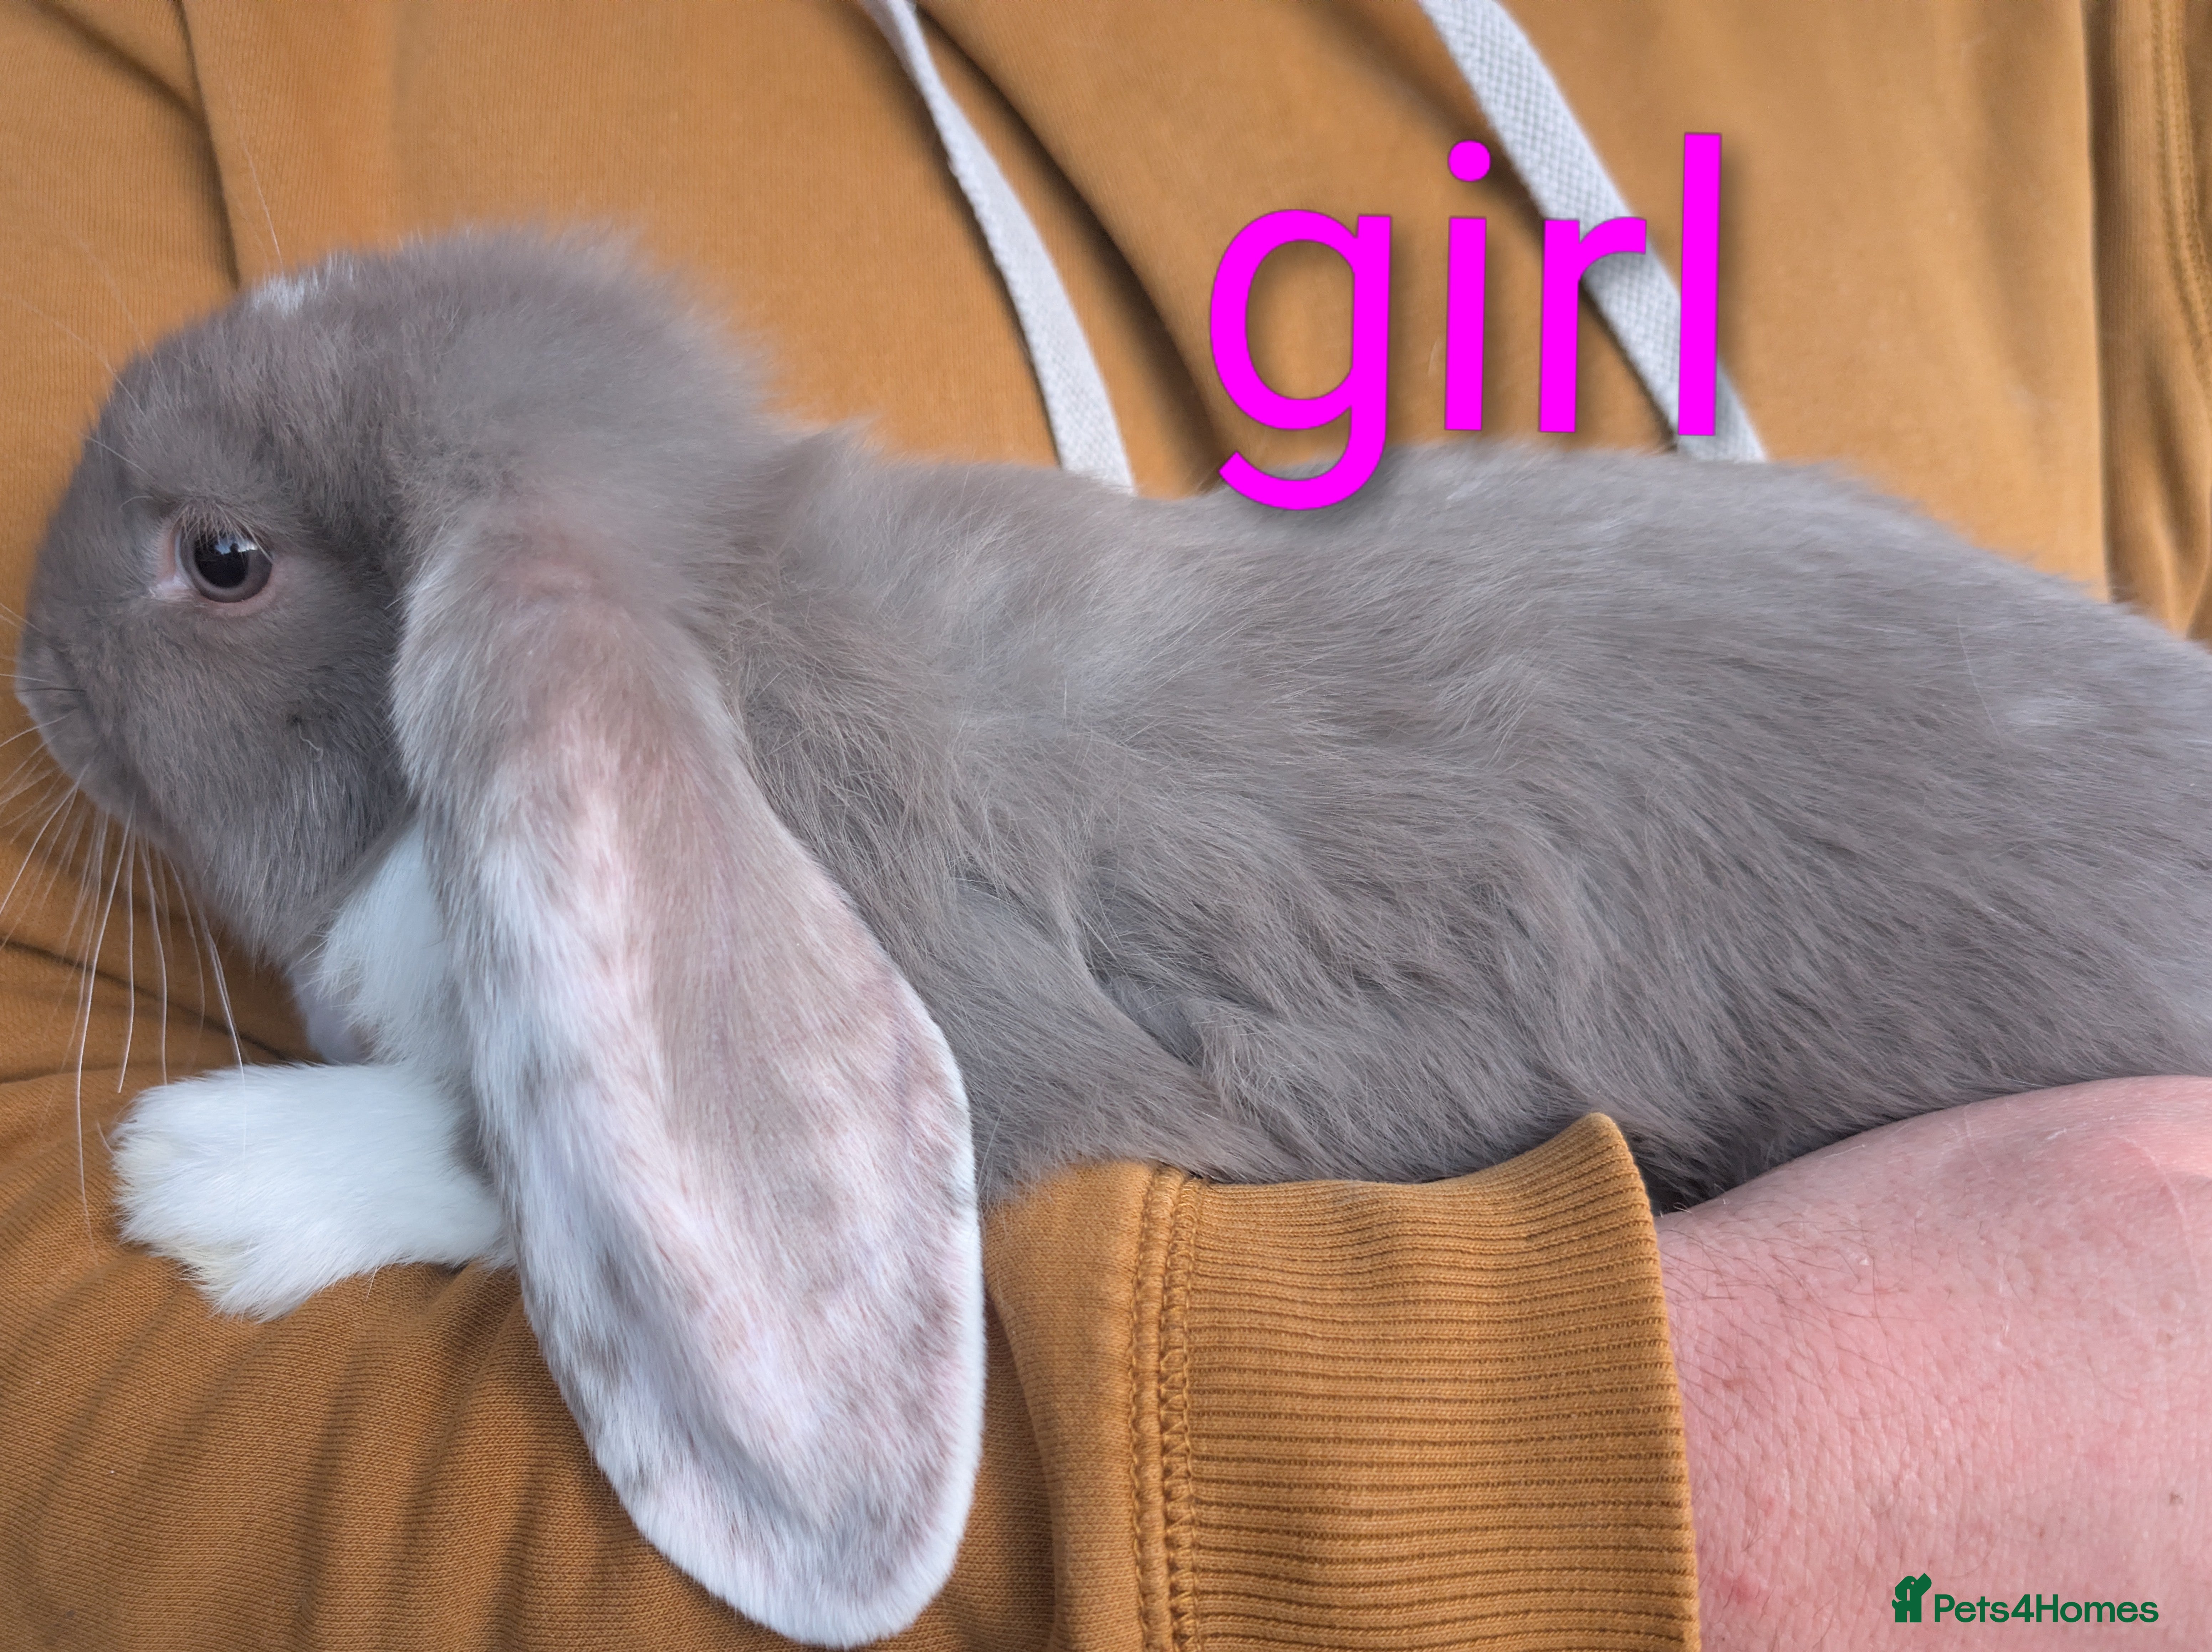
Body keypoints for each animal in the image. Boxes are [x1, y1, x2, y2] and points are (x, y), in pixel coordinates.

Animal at [20, 229, 2212, 1644]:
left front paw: (209, 1173)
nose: (29, 668)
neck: (733, 617)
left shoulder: (999, 1045)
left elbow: (531, 1152)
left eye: (223, 558)